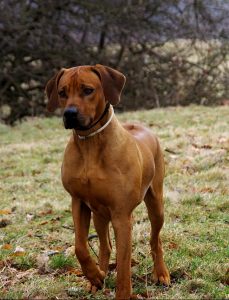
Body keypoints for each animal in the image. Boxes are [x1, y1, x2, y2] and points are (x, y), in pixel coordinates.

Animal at [45, 64, 170, 298]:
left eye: (88, 90)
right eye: (62, 92)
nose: (69, 114)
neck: (90, 142)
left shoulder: (121, 215)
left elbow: (123, 268)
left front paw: (122, 292)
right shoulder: (78, 202)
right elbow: (80, 246)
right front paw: (95, 275)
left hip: (156, 203)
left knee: (155, 238)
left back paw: (161, 273)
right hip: (99, 214)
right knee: (105, 245)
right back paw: (98, 277)